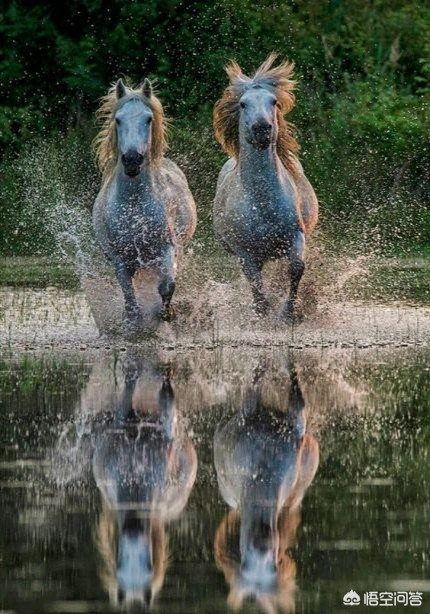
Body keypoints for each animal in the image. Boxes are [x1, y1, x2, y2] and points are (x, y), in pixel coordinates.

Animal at [213, 54, 318, 322]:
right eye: (242, 104)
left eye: (273, 102)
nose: (262, 128)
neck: (262, 202)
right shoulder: (245, 252)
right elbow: (256, 285)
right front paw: (263, 314)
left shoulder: (295, 236)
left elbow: (296, 269)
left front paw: (289, 313)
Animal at [215, 368, 320, 612]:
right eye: (246, 564)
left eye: (273, 564)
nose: (261, 540)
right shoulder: (248, 411)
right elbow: (254, 385)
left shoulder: (295, 426)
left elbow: (297, 397)